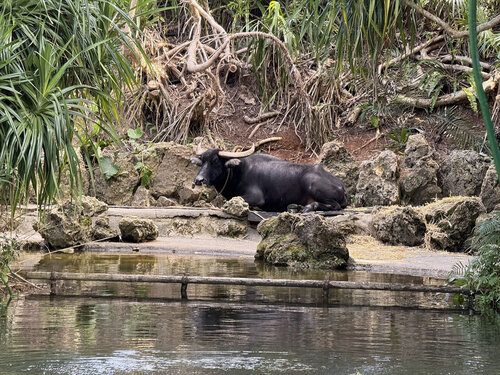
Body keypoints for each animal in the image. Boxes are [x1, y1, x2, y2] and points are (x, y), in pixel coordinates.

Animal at [189, 144, 350, 213]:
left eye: (215, 161)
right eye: (202, 161)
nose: (199, 180)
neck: (239, 171)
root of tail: (342, 186)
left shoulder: (255, 197)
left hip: (313, 185)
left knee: (335, 205)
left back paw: (309, 207)